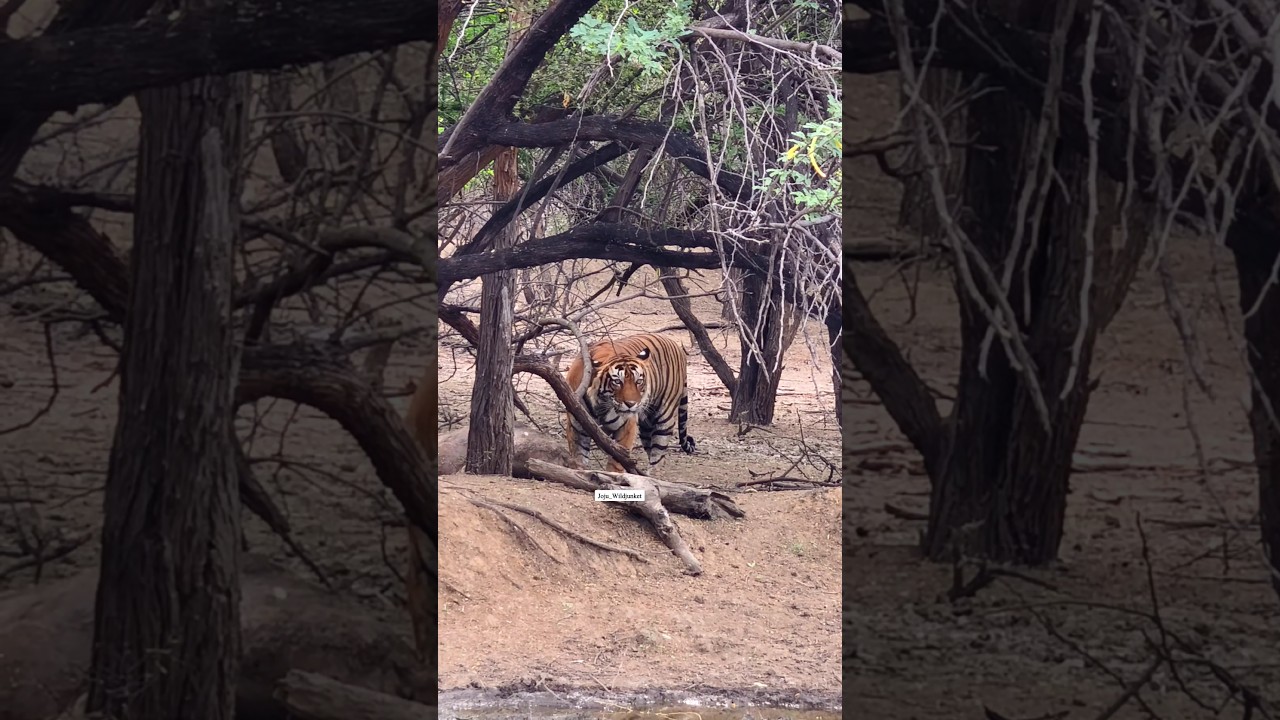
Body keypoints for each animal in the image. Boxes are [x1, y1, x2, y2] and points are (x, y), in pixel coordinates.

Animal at [564, 332, 697, 472]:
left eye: (638, 381)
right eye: (617, 382)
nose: (631, 404)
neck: (601, 404)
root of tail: (677, 347)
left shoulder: (626, 426)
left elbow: (616, 461)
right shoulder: (576, 427)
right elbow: (578, 456)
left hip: (664, 418)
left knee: (658, 456)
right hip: (646, 428)